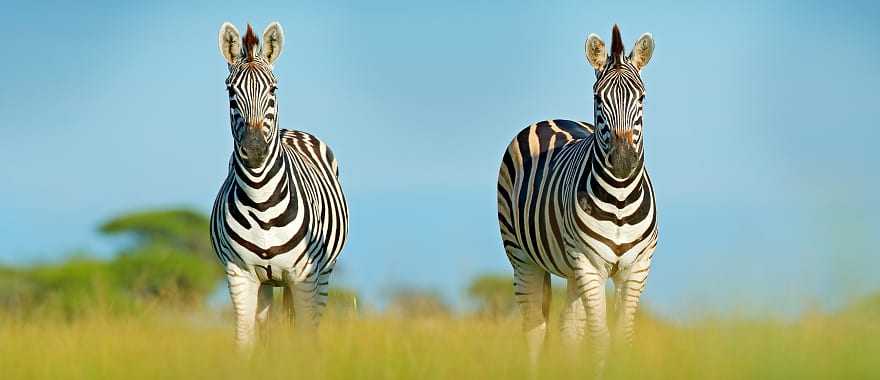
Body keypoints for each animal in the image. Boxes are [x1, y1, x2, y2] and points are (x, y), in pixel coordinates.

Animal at [211, 21, 348, 348]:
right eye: (230, 90)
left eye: (273, 88)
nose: (254, 148)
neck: (261, 199)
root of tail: (290, 130)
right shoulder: (240, 275)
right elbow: (245, 339)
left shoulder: (304, 275)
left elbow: (305, 337)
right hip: (267, 282)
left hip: (323, 274)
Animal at [498, 25, 656, 366]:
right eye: (598, 98)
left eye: (642, 97)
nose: (623, 161)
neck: (620, 198)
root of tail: (549, 118)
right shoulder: (589, 264)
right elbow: (600, 338)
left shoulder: (637, 267)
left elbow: (623, 337)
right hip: (523, 257)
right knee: (534, 329)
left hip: (572, 270)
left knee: (569, 328)